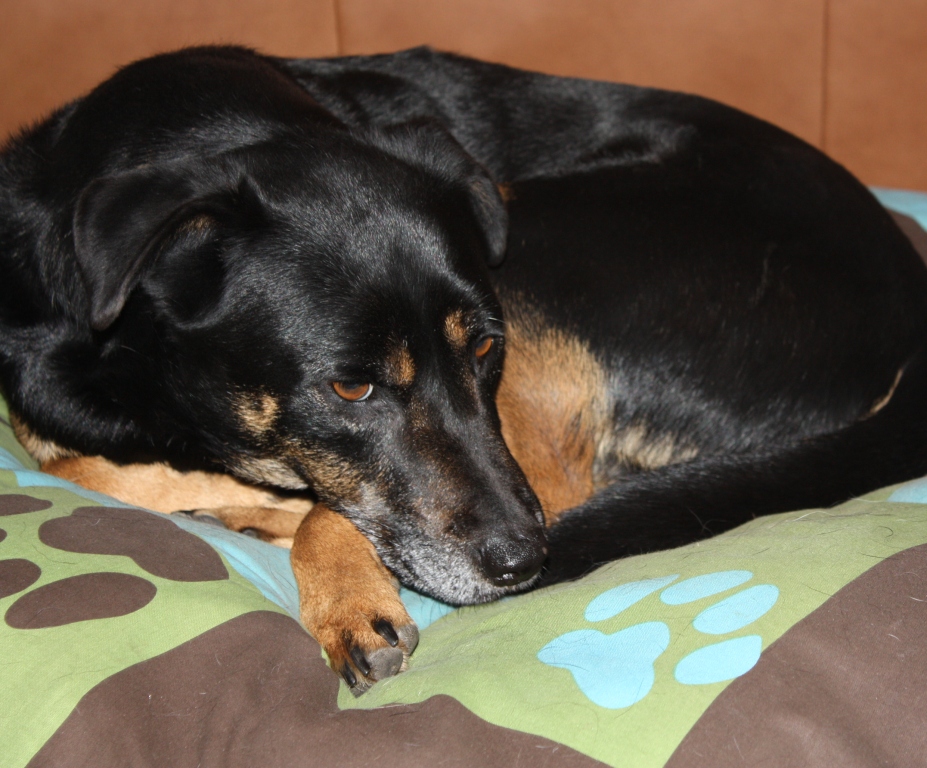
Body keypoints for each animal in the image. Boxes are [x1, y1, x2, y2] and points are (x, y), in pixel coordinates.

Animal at [2, 46, 927, 694]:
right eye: (349, 386)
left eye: (485, 348)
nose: (524, 563)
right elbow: (82, 461)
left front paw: (338, 582)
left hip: (543, 242)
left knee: (561, 485)